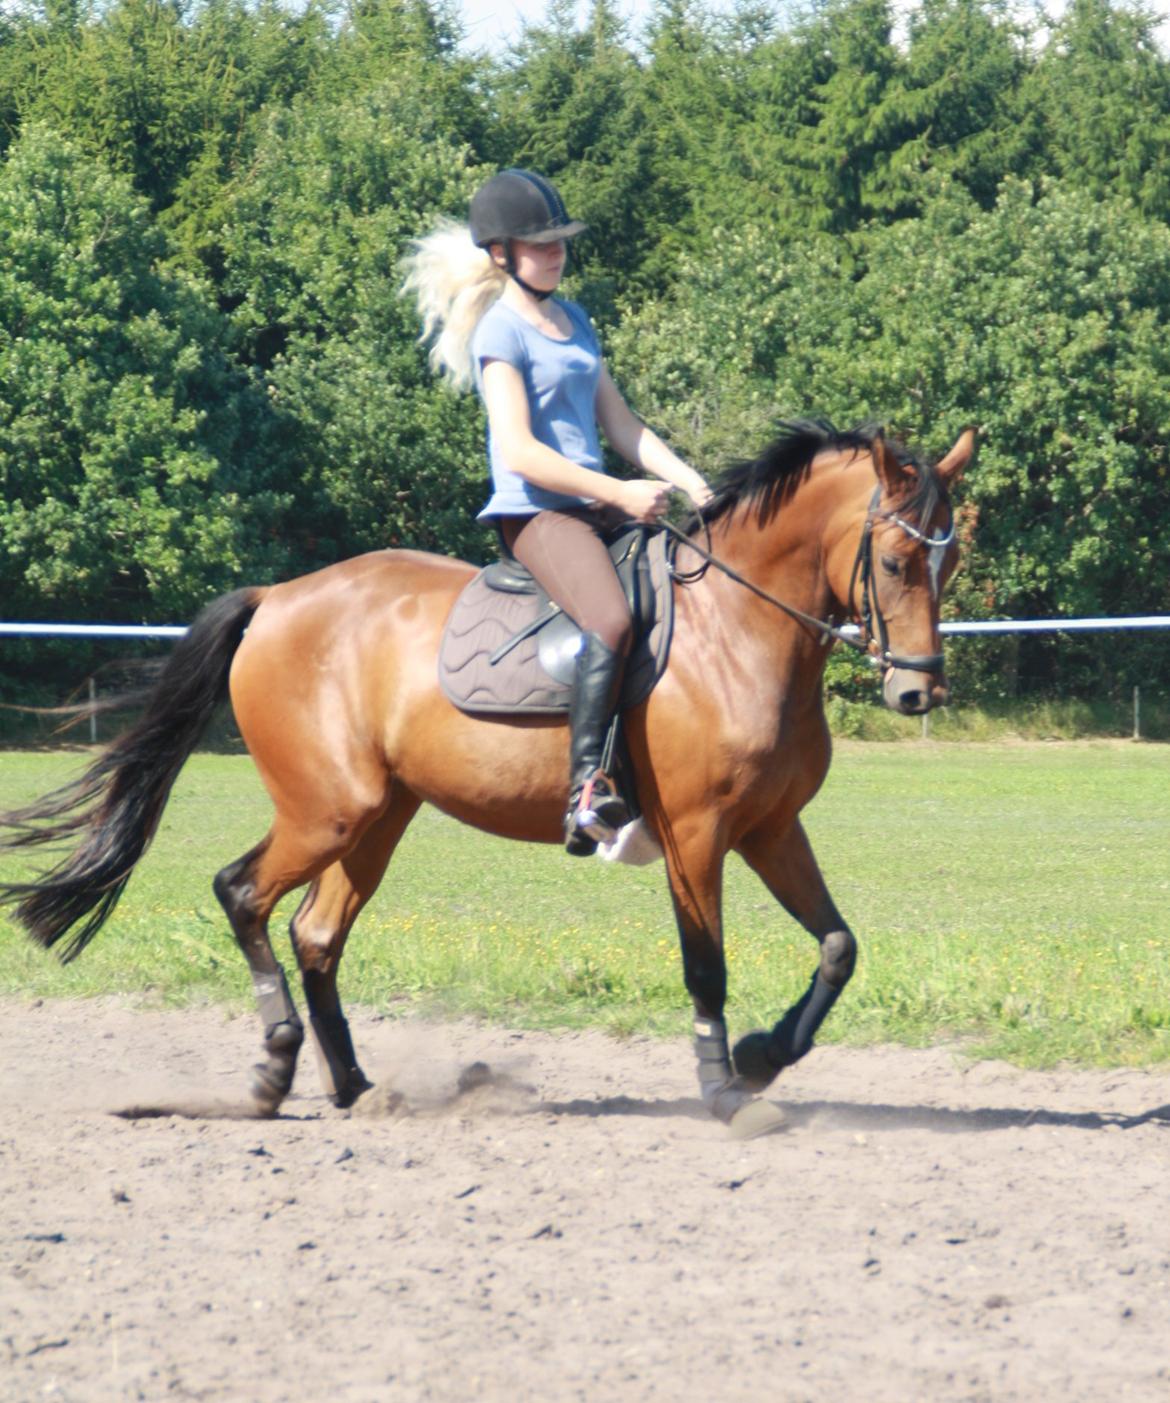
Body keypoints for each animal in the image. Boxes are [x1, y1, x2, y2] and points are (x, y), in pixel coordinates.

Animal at [0, 420, 965, 1133]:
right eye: (892, 562)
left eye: (949, 562)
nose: (917, 690)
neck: (736, 629)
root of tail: (276, 597)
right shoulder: (697, 835)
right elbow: (706, 967)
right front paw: (727, 1090)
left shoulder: (770, 827)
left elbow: (838, 946)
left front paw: (765, 1056)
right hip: (328, 810)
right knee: (243, 893)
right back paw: (273, 1068)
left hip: (379, 816)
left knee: (316, 932)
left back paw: (357, 1088)